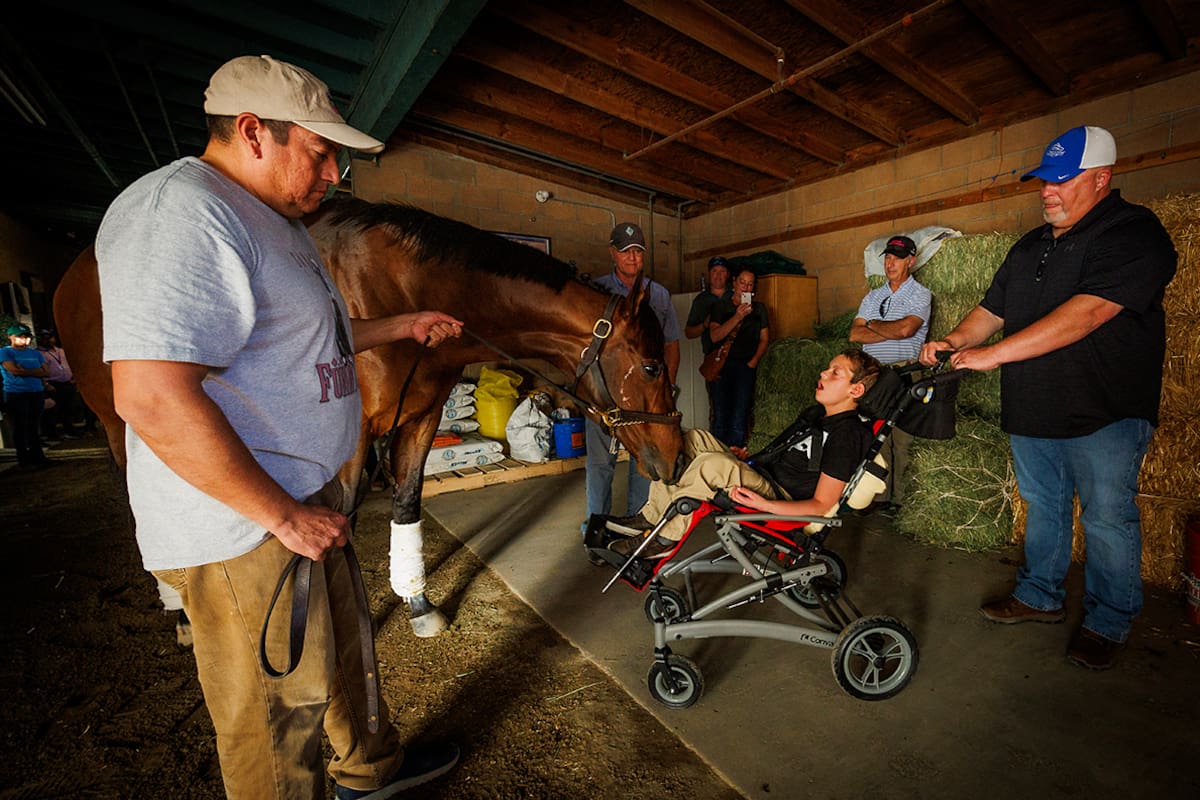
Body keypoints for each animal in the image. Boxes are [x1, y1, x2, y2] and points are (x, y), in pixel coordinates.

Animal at [54, 196, 685, 637]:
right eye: (651, 365)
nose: (677, 459)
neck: (398, 286)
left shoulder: (419, 417)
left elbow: (405, 504)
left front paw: (419, 604)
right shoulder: (352, 434)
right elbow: (346, 519)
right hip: (121, 424)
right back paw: (180, 611)